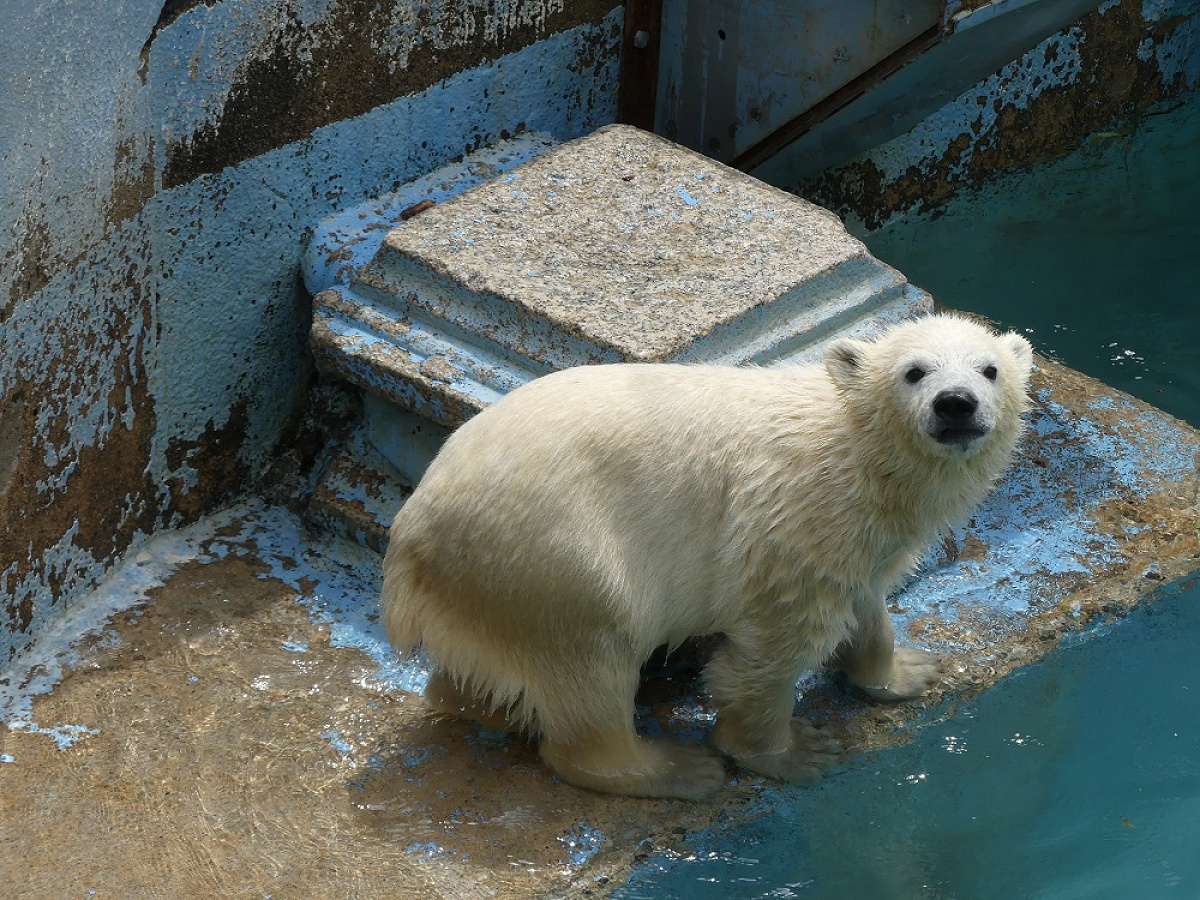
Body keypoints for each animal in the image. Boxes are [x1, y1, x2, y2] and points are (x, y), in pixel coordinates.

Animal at [381, 314, 1032, 801]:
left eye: (990, 369)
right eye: (913, 372)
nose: (955, 403)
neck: (858, 451)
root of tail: (411, 534)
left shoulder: (858, 537)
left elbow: (866, 601)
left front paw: (907, 671)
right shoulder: (794, 518)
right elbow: (776, 644)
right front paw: (791, 750)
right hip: (553, 556)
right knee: (592, 658)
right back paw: (675, 768)